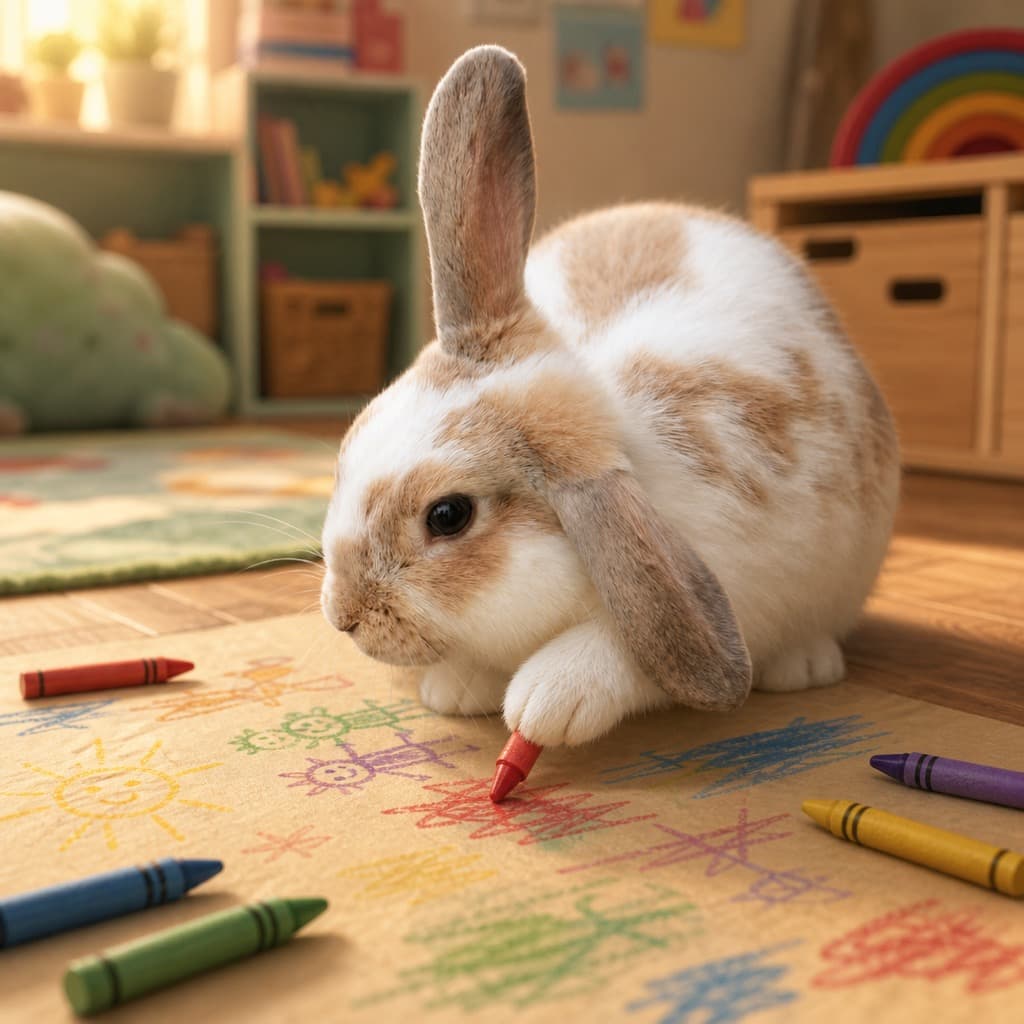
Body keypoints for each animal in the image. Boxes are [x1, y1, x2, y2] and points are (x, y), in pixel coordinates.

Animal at [320, 46, 900, 748]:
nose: (343, 616)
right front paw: (456, 689)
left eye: (448, 516)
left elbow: (630, 651)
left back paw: (807, 666)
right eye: (352, 442)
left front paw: (546, 701)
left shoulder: (736, 589)